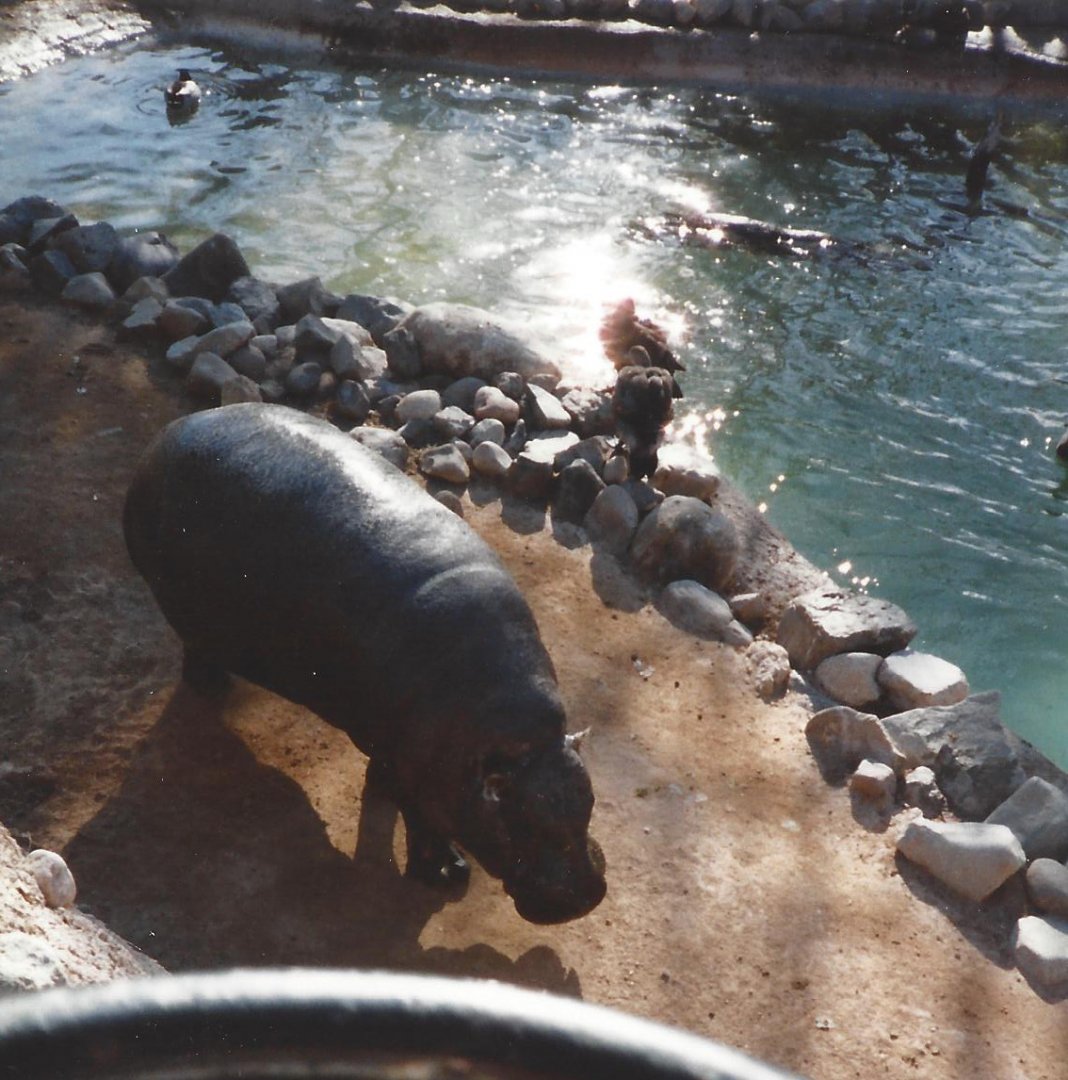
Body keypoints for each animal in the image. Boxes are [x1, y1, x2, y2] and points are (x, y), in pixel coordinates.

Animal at [124, 403, 606, 924]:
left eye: (588, 803)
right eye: (521, 823)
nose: (586, 896)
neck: (514, 738)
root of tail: (167, 435)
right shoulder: (424, 774)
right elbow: (423, 825)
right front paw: (446, 875)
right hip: (182, 609)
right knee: (195, 652)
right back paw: (215, 688)